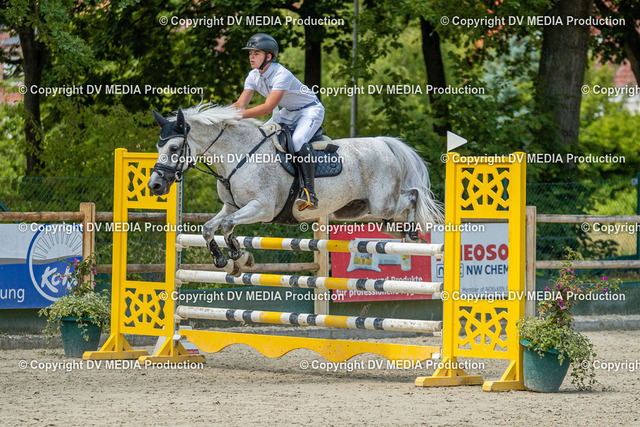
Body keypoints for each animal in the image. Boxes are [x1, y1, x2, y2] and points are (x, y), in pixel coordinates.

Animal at [147, 103, 443, 275]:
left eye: (174, 148)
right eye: (158, 147)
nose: (155, 185)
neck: (238, 154)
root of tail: (385, 143)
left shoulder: (262, 208)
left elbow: (227, 226)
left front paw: (240, 256)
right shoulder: (232, 206)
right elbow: (210, 227)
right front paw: (229, 260)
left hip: (383, 203)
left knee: (413, 196)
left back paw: (413, 231)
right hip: (362, 211)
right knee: (393, 219)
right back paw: (406, 233)